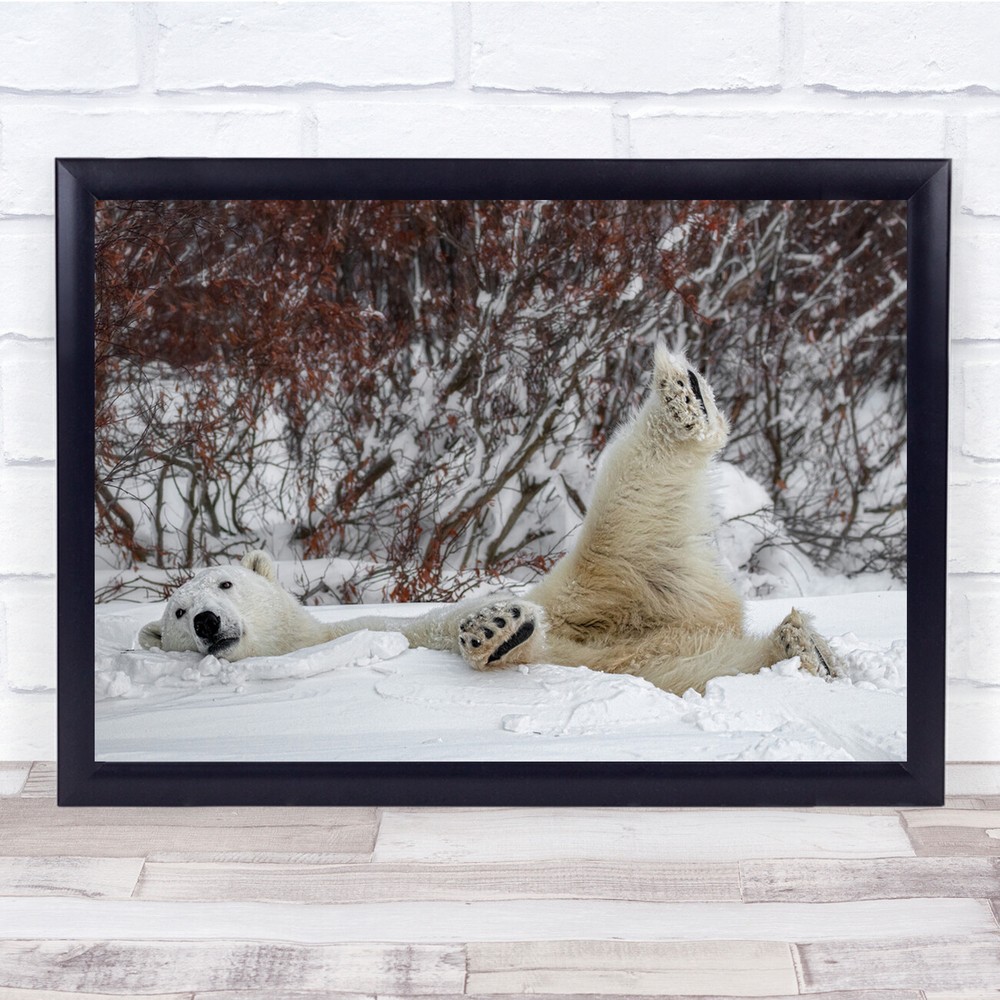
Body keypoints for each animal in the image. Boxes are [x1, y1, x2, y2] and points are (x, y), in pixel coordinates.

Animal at [140, 346, 840, 695]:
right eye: (177, 612)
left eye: (225, 583)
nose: (206, 621)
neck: (301, 641)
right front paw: (499, 632)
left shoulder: (395, 625)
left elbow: (441, 622)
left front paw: (494, 622)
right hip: (661, 650)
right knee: (712, 661)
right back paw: (803, 652)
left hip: (612, 577)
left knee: (626, 508)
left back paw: (681, 398)